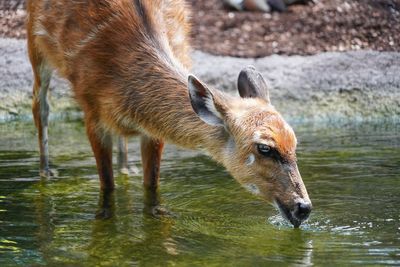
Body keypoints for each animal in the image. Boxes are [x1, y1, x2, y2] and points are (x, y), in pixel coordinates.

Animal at [26, 0, 310, 228]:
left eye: (295, 144)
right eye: (264, 148)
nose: (303, 208)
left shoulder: (152, 129)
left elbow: (151, 185)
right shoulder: (91, 112)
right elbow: (107, 186)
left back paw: (126, 168)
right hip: (34, 41)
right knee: (40, 105)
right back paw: (46, 173)